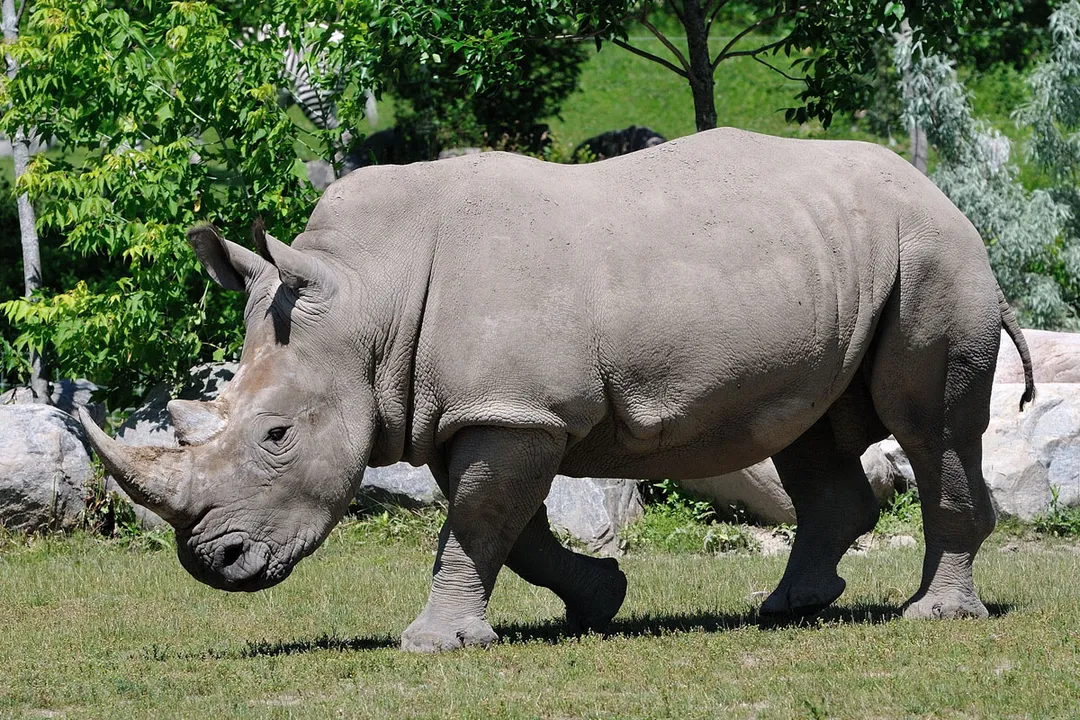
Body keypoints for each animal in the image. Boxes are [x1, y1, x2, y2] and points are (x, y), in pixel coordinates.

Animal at [80, 128, 1035, 653]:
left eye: (276, 437)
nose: (214, 565)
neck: (367, 298)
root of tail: (943, 194)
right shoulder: (479, 407)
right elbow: (510, 530)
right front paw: (600, 601)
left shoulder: (514, 411)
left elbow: (477, 524)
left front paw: (433, 645)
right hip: (840, 259)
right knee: (808, 433)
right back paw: (789, 608)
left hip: (934, 256)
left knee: (931, 429)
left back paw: (933, 618)